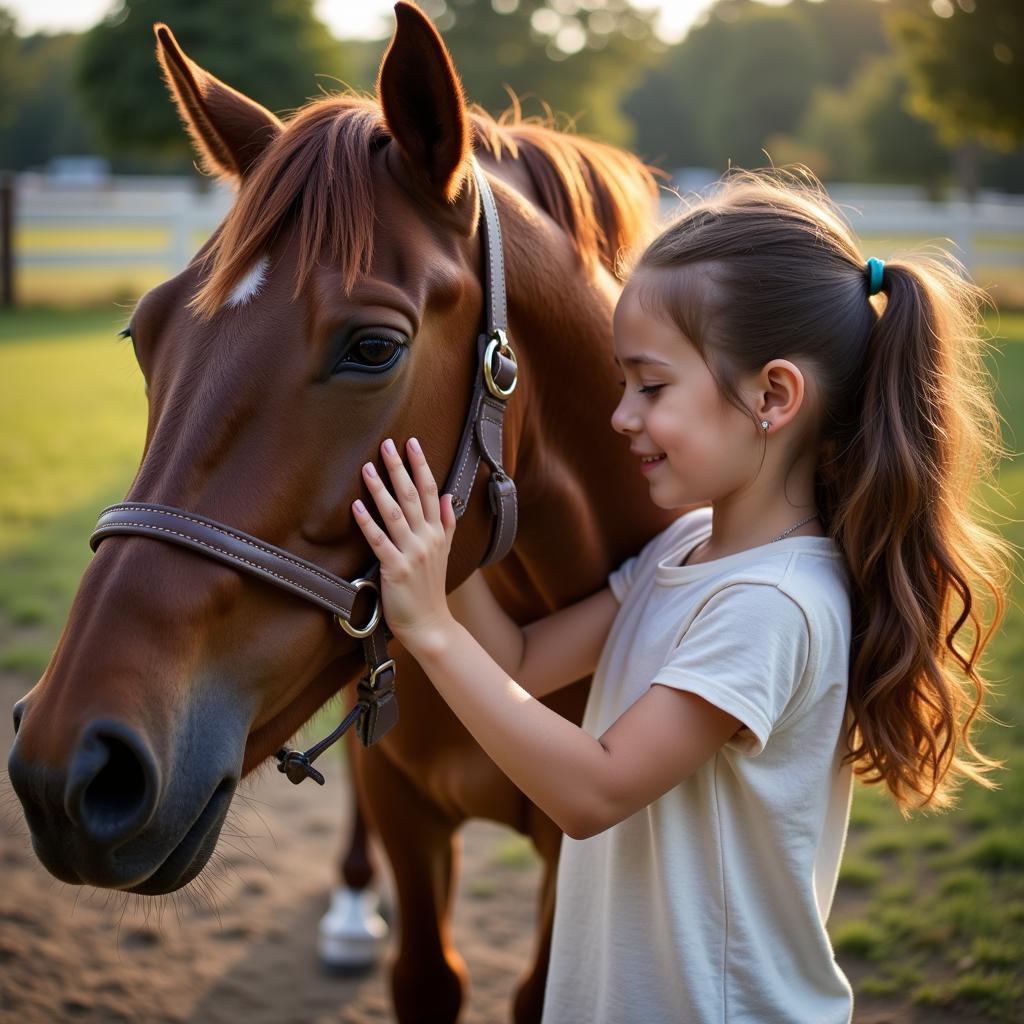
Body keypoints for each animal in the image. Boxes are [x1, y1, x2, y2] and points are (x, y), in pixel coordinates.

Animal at [9, 4, 679, 1019]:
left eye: (373, 347)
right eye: (141, 334)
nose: (70, 765)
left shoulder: (585, 844)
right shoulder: (407, 811)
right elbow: (427, 975)